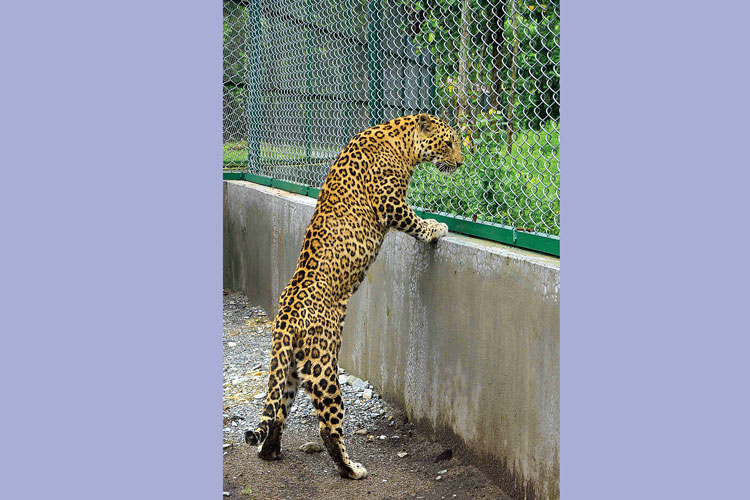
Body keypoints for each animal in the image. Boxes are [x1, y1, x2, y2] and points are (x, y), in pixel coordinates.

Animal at [244, 113, 463, 479]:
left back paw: (270, 452)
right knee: (327, 427)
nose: (460, 162)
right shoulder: (391, 203)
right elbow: (415, 221)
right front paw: (436, 228)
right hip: (323, 366)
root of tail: (285, 313)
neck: (401, 141)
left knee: (277, 411)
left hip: (289, 368)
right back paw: (352, 469)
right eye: (448, 143)